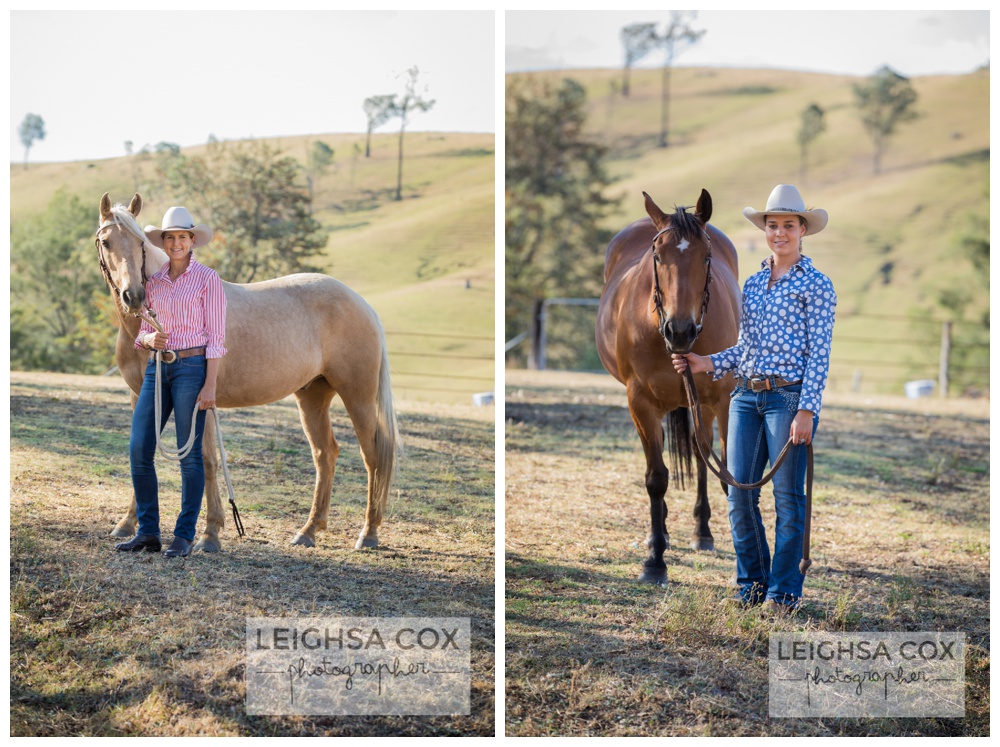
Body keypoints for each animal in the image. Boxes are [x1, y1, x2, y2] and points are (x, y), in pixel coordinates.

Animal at [95, 193, 400, 556]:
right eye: (106, 242)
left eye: (140, 242)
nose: (135, 296)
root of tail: (362, 304)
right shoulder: (140, 397)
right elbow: (143, 453)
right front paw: (129, 525)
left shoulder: (200, 403)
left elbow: (207, 461)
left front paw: (210, 534)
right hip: (313, 396)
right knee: (325, 455)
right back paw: (309, 530)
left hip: (358, 397)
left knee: (372, 457)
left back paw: (368, 534)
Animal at [592, 190, 744, 588]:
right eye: (658, 257)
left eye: (705, 256)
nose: (680, 330)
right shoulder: (641, 402)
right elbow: (656, 478)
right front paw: (654, 561)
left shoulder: (722, 400)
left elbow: (729, 475)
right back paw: (658, 535)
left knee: (702, 455)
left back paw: (702, 532)